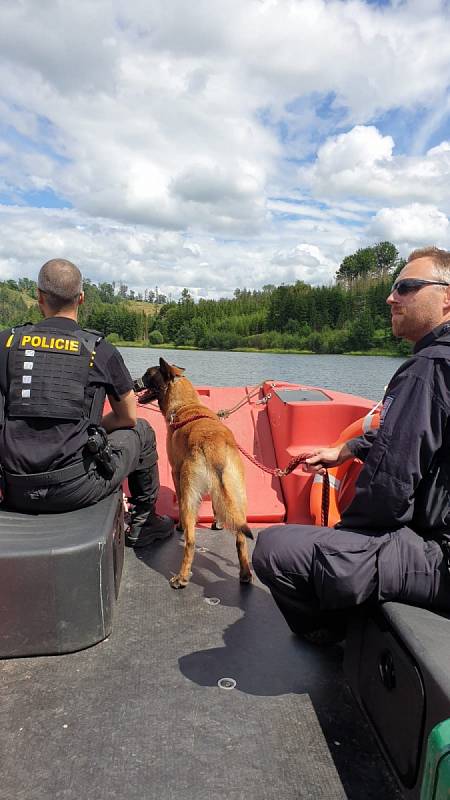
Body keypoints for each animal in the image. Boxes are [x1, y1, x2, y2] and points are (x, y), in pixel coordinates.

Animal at [134, 356, 253, 588]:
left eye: (147, 375)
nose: (134, 384)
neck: (185, 405)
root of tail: (214, 446)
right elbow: (217, 506)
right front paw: (217, 523)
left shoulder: (175, 472)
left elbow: (179, 507)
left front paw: (179, 525)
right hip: (239, 497)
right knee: (241, 538)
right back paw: (245, 574)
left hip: (190, 491)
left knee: (190, 541)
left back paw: (181, 577)